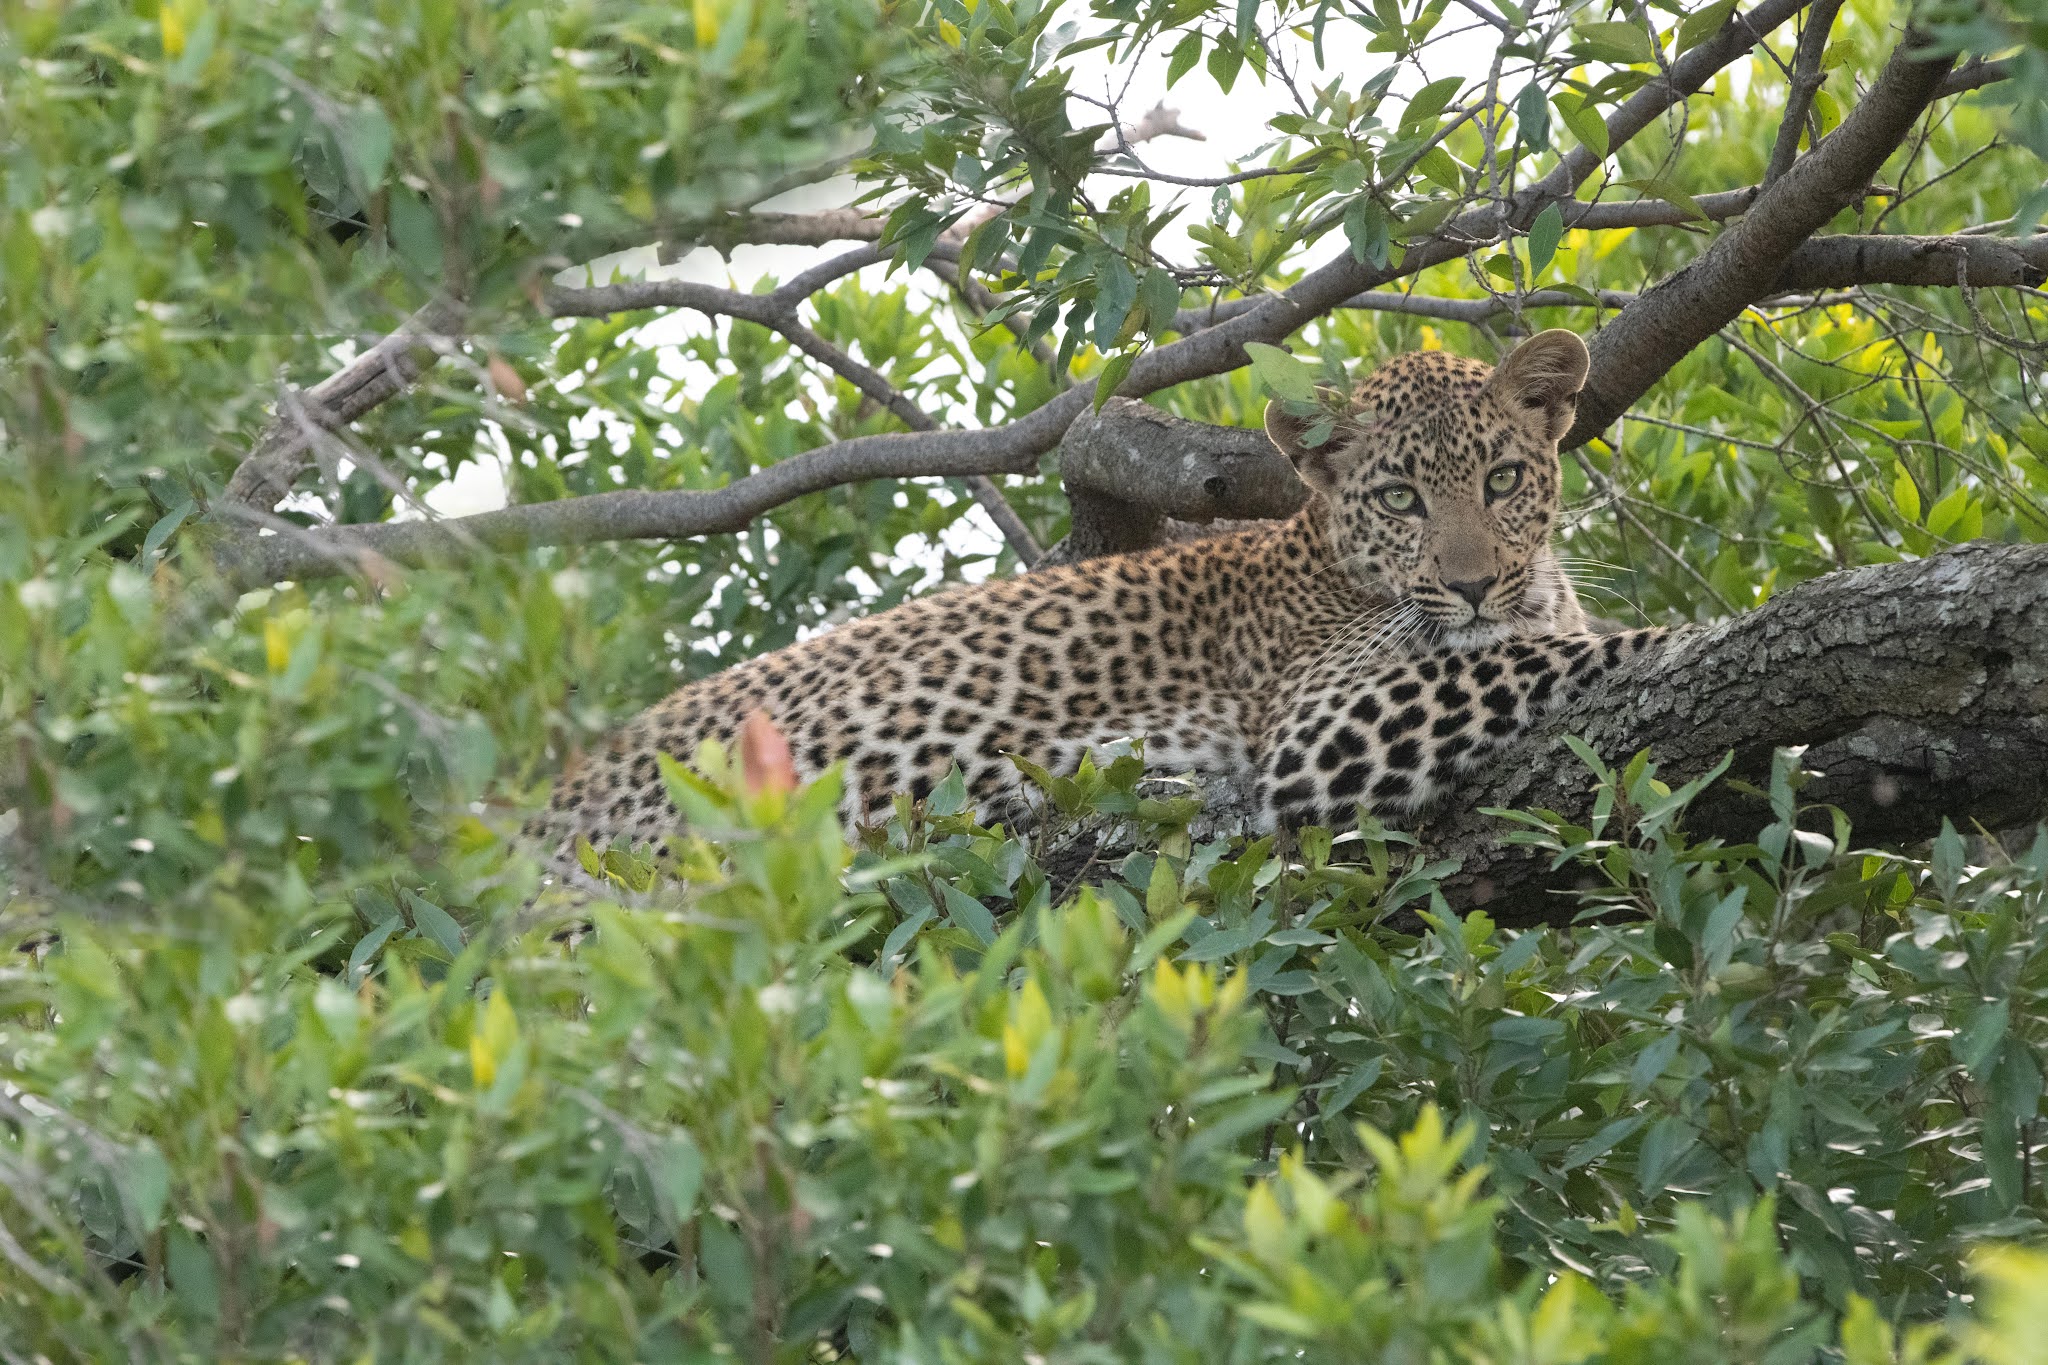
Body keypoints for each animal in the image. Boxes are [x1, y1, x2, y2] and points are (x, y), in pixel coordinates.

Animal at [526, 328, 1615, 863]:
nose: (1473, 586)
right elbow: (1575, 652)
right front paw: (1661, 644)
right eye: (1398, 499)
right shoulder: (1319, 722)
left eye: (1502, 481)